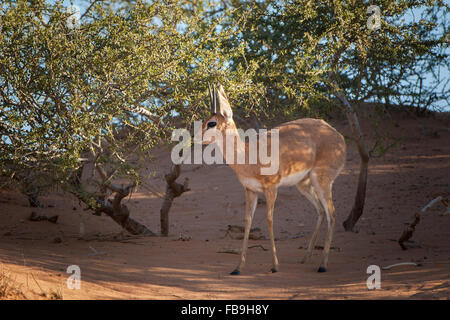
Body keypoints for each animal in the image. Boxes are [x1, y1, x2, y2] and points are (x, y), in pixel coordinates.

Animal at [197, 84, 344, 274]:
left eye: (212, 123)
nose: (196, 139)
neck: (248, 155)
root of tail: (338, 136)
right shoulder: (250, 190)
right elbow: (247, 221)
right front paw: (238, 267)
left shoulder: (271, 189)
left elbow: (269, 220)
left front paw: (275, 266)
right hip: (303, 185)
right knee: (320, 210)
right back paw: (306, 258)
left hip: (322, 181)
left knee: (331, 214)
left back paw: (323, 265)